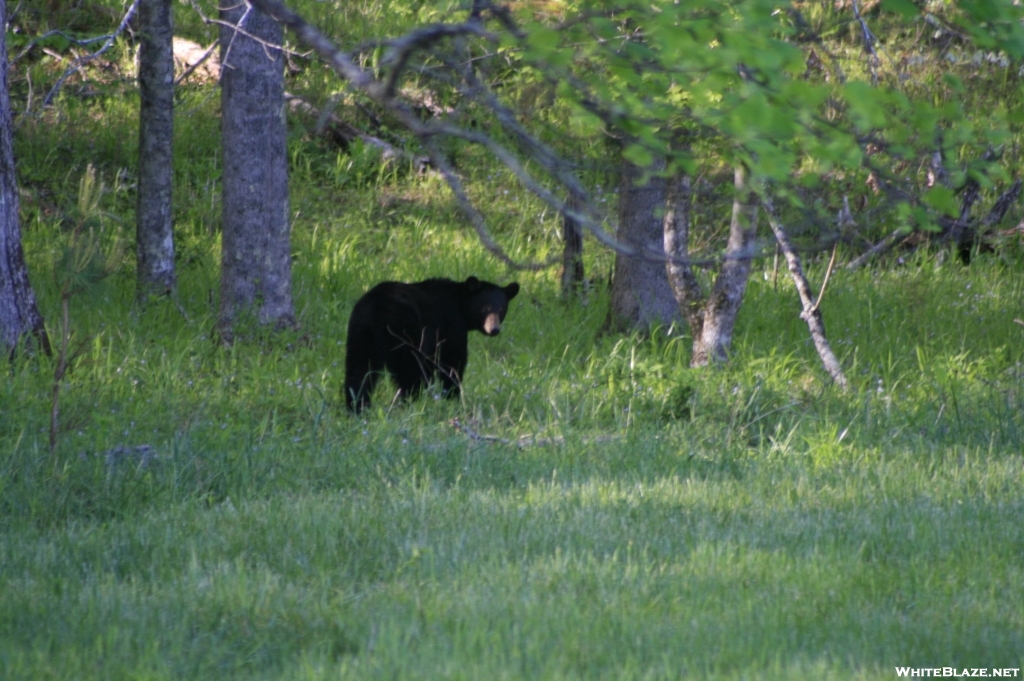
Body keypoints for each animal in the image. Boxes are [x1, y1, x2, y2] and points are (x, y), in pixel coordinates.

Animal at [344, 274, 520, 411]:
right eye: (485, 309)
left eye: (501, 310)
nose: (494, 329)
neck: (460, 303)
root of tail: (377, 309)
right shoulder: (450, 324)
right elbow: (451, 361)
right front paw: (453, 397)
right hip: (405, 330)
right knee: (410, 370)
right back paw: (409, 402)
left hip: (361, 334)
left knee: (358, 371)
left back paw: (357, 407)